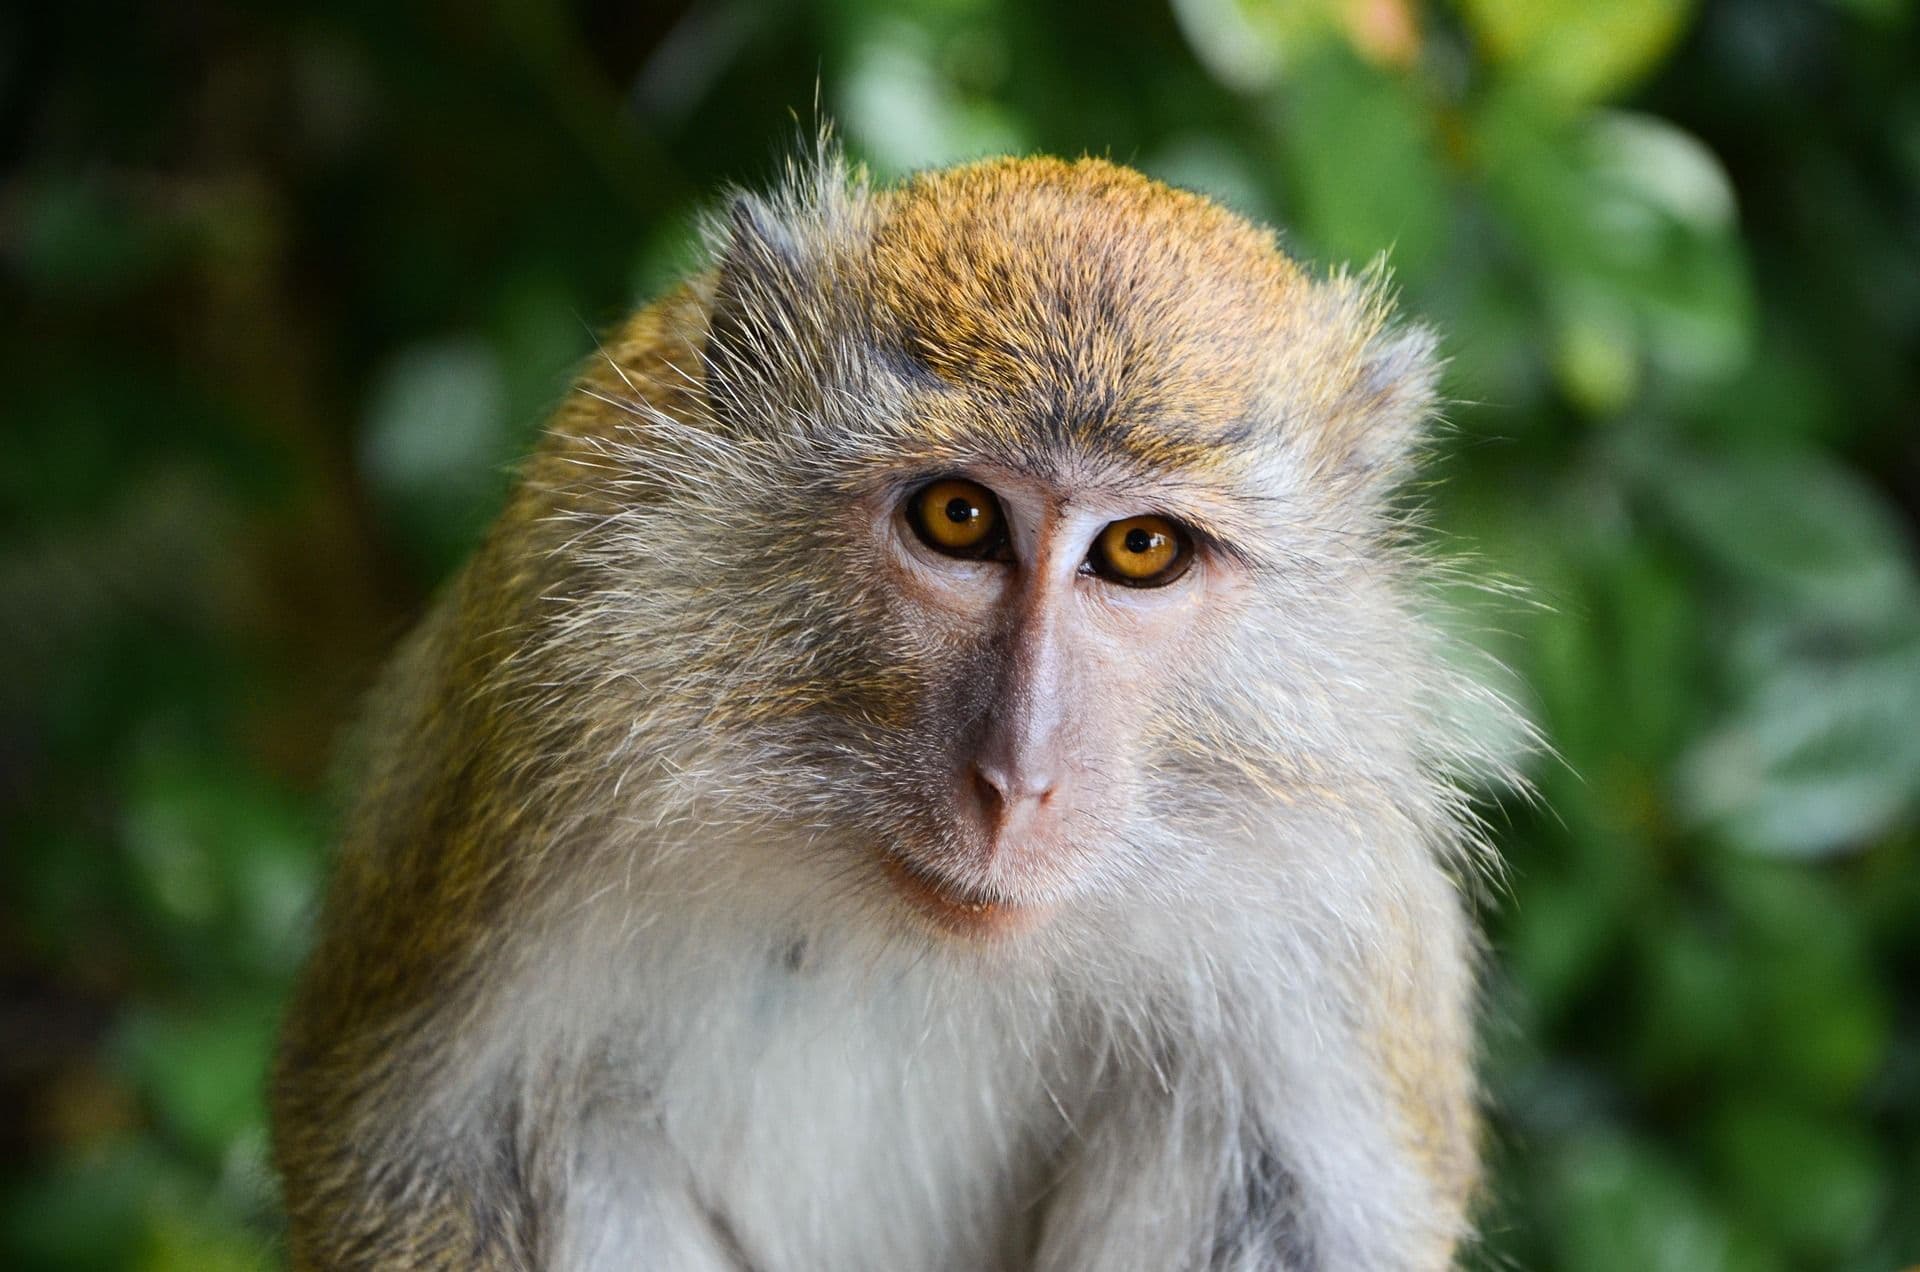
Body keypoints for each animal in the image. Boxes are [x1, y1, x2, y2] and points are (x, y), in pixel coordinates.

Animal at [271, 148, 1518, 1271]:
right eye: (959, 517)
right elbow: (422, 1148)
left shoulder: (1332, 900)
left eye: (1141, 549)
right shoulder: (548, 710)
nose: (1017, 782)